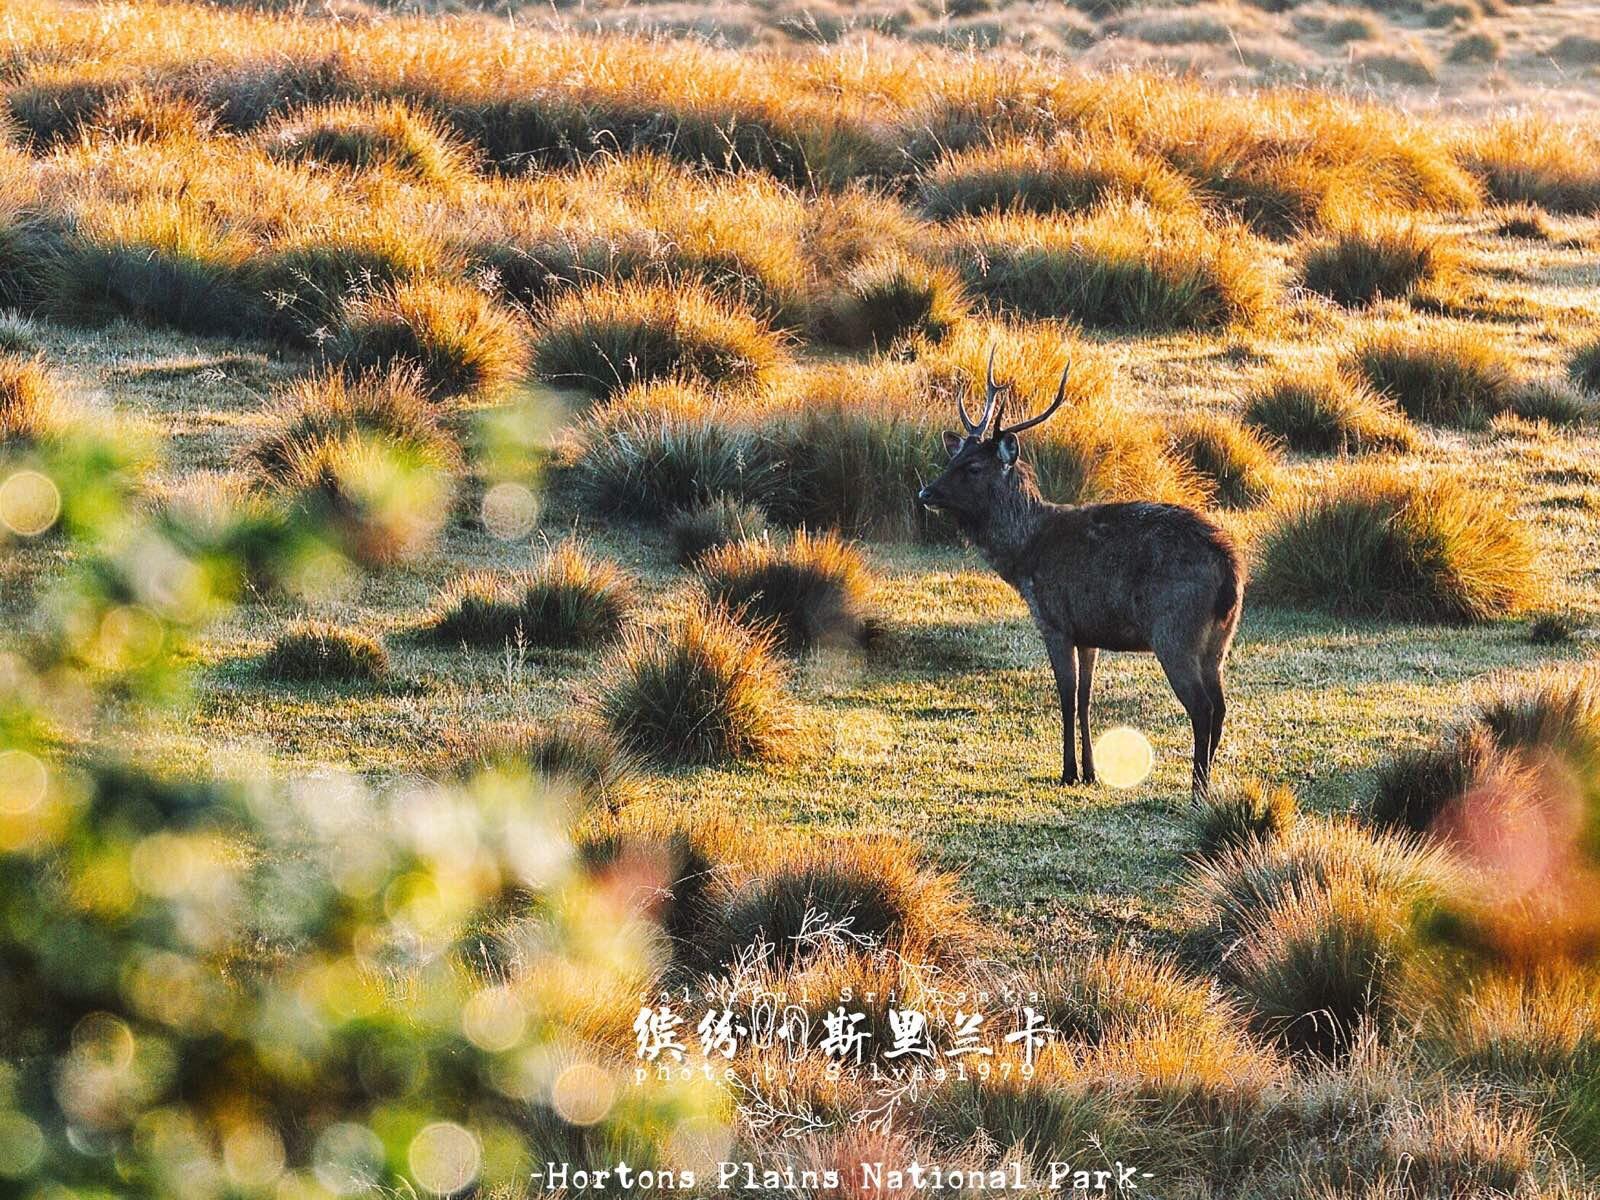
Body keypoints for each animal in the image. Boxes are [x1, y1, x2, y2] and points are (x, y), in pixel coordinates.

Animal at [921, 347, 1241, 800]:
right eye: (954, 457)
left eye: (973, 468)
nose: (925, 493)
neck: (1025, 555)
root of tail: (1230, 569)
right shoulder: (1089, 631)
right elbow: (1087, 697)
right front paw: (1091, 771)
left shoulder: (1054, 620)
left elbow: (1066, 695)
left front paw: (1068, 771)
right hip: (1219, 640)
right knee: (1222, 705)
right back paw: (1205, 783)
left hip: (1175, 630)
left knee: (1202, 707)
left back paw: (1197, 789)